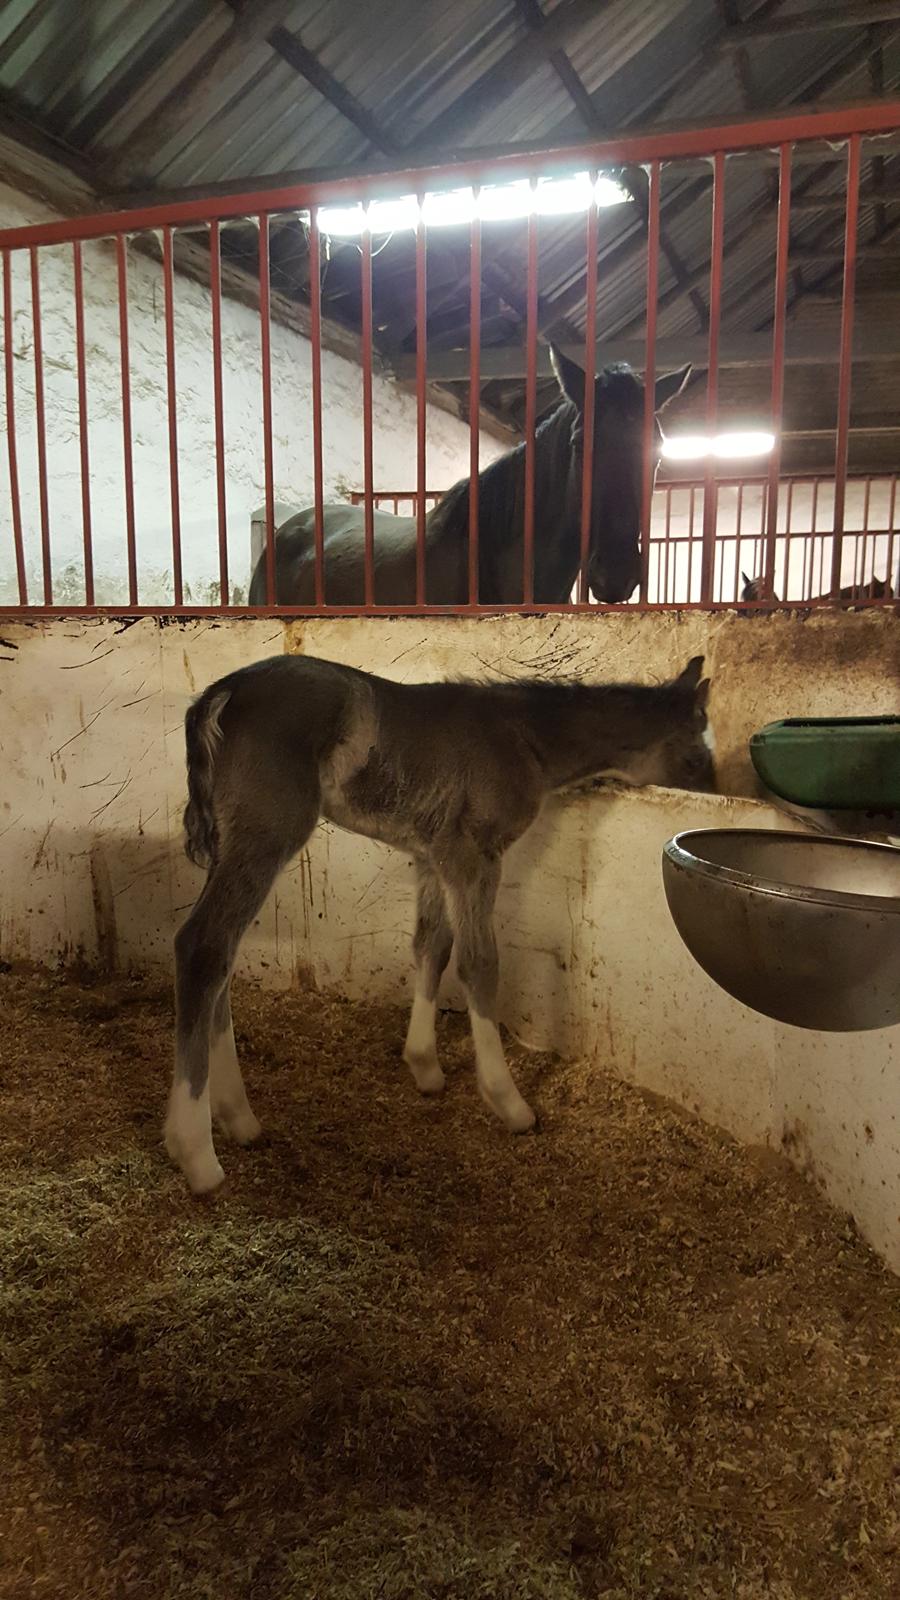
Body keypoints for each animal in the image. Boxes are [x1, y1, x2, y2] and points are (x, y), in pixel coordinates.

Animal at [164, 652, 715, 1193]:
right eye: (696, 757)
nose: (713, 798)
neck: (525, 739)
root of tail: (222, 692)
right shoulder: (473, 854)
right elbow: (480, 964)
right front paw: (507, 1101)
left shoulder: (433, 856)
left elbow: (432, 946)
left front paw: (424, 1065)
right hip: (268, 832)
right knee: (204, 946)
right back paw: (197, 1154)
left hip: (235, 842)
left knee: (225, 956)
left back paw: (238, 1119)